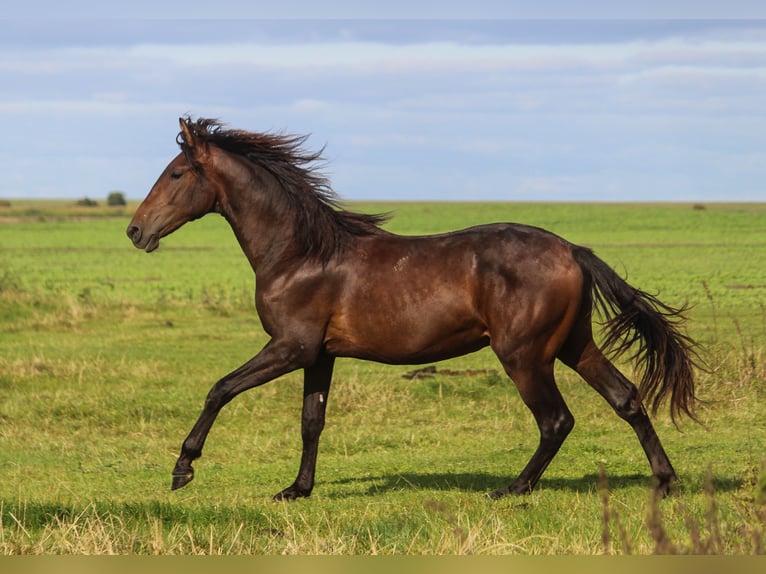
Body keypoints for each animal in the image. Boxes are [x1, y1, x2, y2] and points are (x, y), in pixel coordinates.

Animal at [127, 118, 704, 504]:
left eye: (176, 174)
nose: (135, 231)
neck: (299, 254)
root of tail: (572, 251)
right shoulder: (319, 355)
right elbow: (312, 421)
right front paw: (296, 489)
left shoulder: (289, 347)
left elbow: (220, 388)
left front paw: (183, 468)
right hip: (572, 345)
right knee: (626, 398)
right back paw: (665, 483)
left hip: (525, 355)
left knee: (556, 420)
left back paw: (512, 488)